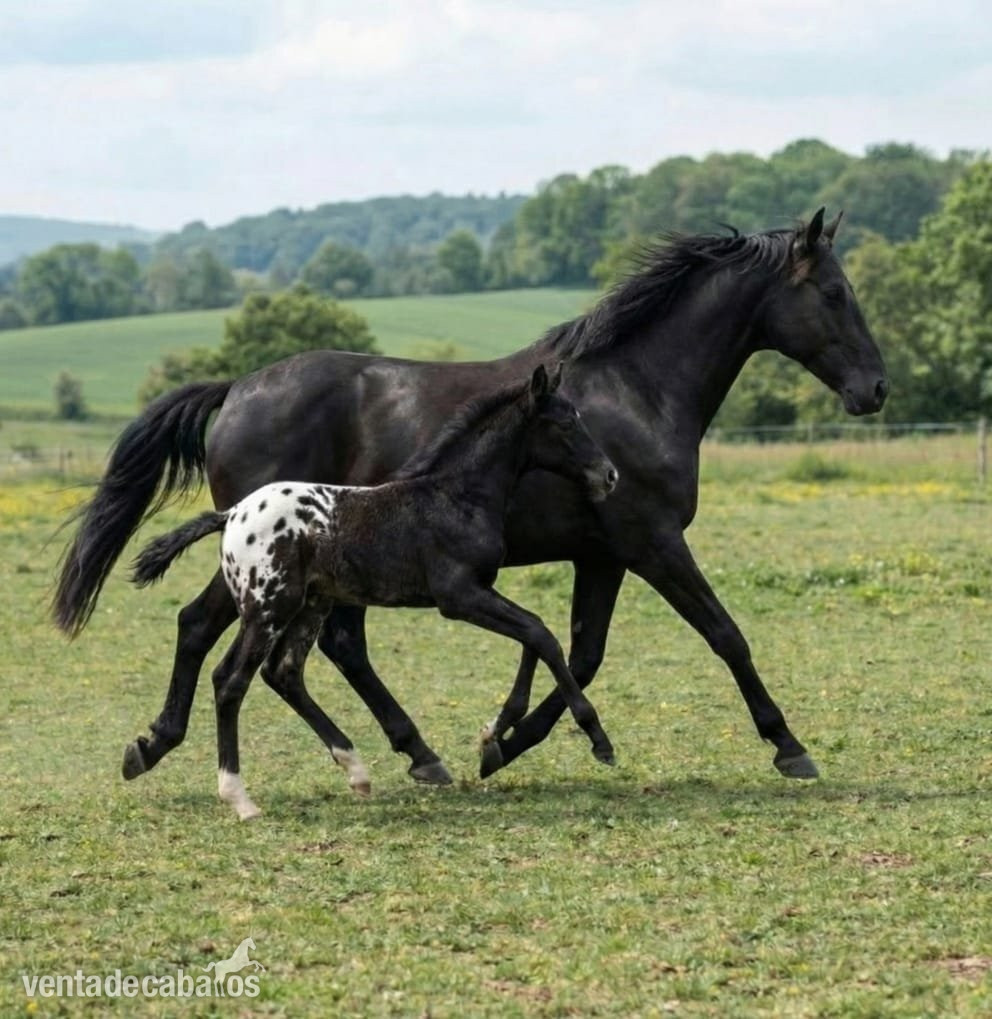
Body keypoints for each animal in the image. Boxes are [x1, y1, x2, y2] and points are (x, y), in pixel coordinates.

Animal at [130, 365, 619, 818]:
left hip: (310, 606)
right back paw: (239, 797)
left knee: (282, 671)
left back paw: (356, 771)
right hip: (268, 608)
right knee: (230, 679)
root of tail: (232, 514)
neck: (456, 496)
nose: (610, 475)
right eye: (565, 423)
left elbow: (532, 636)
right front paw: (598, 740)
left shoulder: (480, 592)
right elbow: (541, 635)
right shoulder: (459, 596)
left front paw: (496, 735)